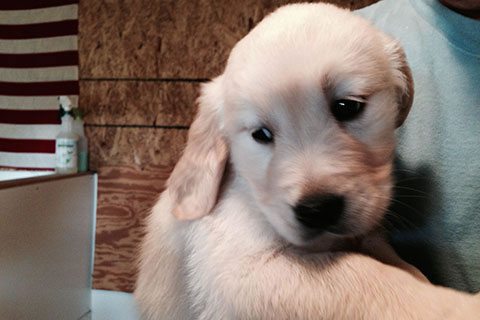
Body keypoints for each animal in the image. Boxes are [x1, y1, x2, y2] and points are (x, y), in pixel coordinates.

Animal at [136, 3, 480, 320]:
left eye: (347, 106)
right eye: (261, 134)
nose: (318, 210)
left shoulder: (366, 233)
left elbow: (395, 263)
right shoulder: (241, 269)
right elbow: (366, 280)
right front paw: (459, 307)